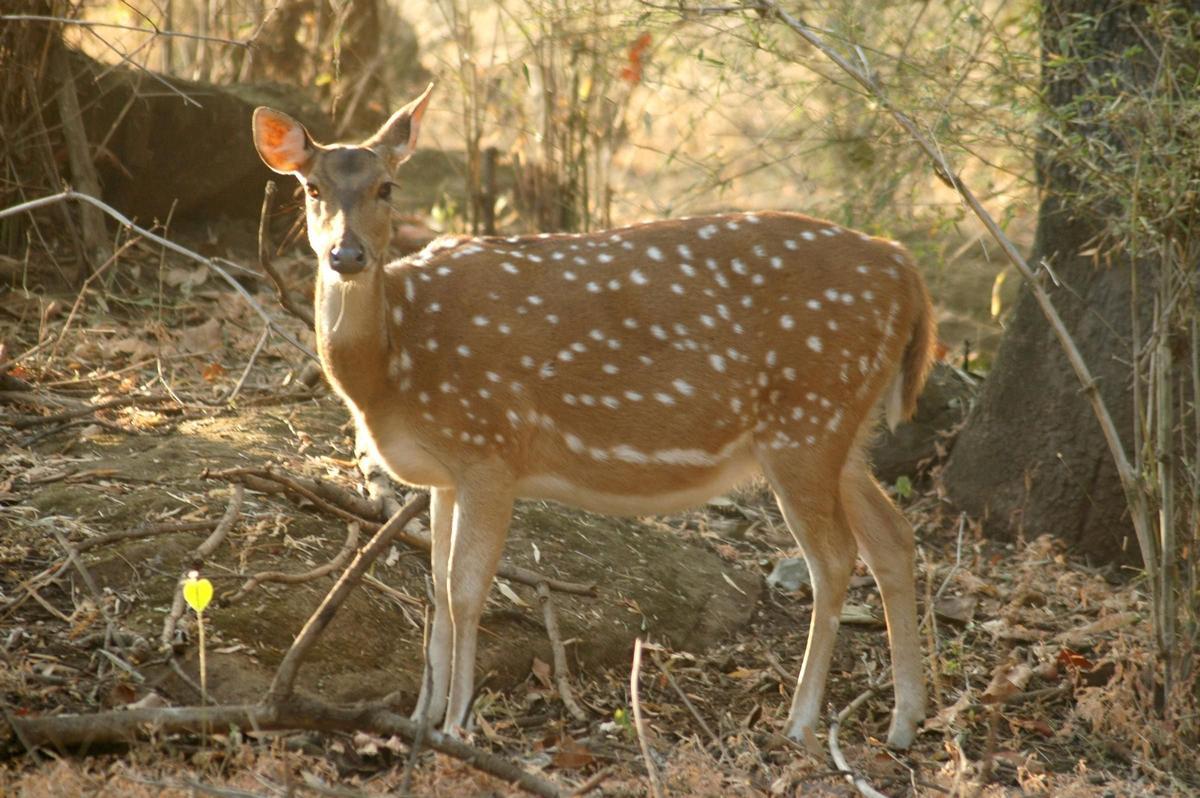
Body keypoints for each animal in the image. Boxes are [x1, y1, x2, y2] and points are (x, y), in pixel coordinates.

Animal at [248, 85, 931, 748]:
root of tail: (905, 269)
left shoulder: (490, 444)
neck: (393, 365)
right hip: (844, 427)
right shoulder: (444, 472)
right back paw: (903, 723)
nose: (347, 255)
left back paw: (802, 722)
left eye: (386, 187)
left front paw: (456, 727)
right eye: (311, 189)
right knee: (894, 536)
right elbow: (437, 591)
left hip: (807, 419)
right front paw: (419, 719)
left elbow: (467, 592)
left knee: (836, 556)